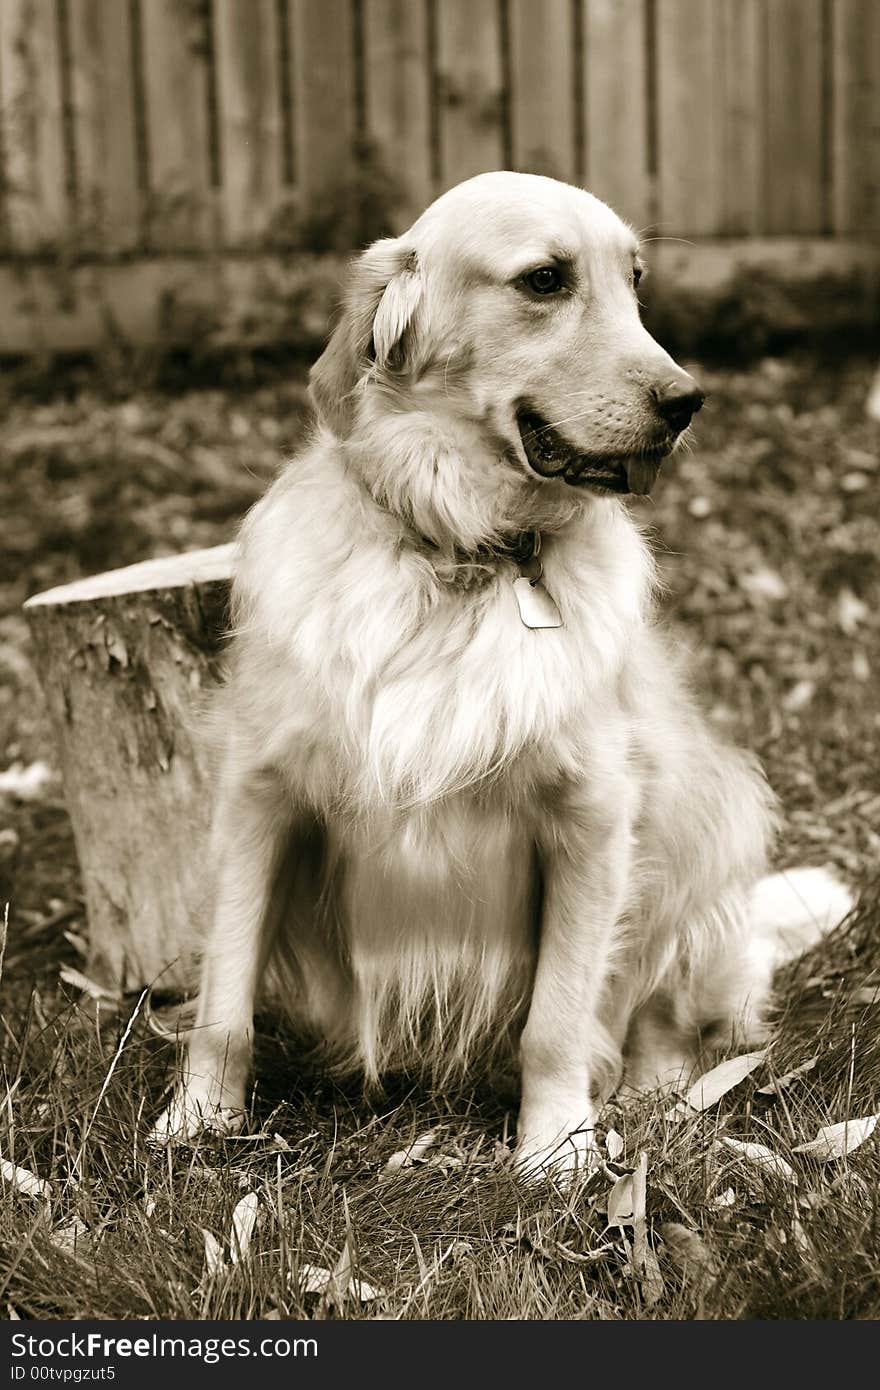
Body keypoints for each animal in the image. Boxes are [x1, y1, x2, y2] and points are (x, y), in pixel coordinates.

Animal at [150, 170, 850, 1173]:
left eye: (635, 280)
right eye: (545, 280)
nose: (688, 402)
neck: (463, 556)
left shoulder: (592, 817)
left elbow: (557, 1021)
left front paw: (556, 1148)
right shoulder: (262, 794)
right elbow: (225, 995)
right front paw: (198, 1120)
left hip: (712, 825)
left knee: (668, 1015)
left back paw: (655, 1094)